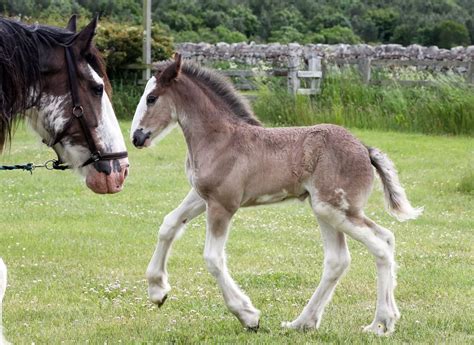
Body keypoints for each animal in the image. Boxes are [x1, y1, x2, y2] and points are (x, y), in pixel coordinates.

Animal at [131, 53, 422, 334]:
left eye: (151, 98)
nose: (136, 137)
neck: (220, 139)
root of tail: (364, 148)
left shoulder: (223, 204)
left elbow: (212, 259)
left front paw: (248, 316)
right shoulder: (202, 196)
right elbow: (169, 224)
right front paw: (157, 291)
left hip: (333, 209)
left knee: (379, 247)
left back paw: (380, 323)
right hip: (330, 211)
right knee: (358, 250)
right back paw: (304, 323)